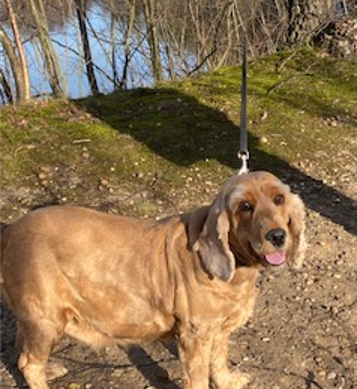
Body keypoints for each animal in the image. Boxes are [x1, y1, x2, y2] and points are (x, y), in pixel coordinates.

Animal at [0, 171, 306, 388]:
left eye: (279, 199)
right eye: (245, 205)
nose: (277, 236)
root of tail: (11, 230)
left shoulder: (219, 330)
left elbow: (219, 361)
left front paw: (228, 382)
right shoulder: (194, 335)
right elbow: (198, 376)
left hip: (36, 317)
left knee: (21, 350)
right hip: (45, 317)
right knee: (30, 363)